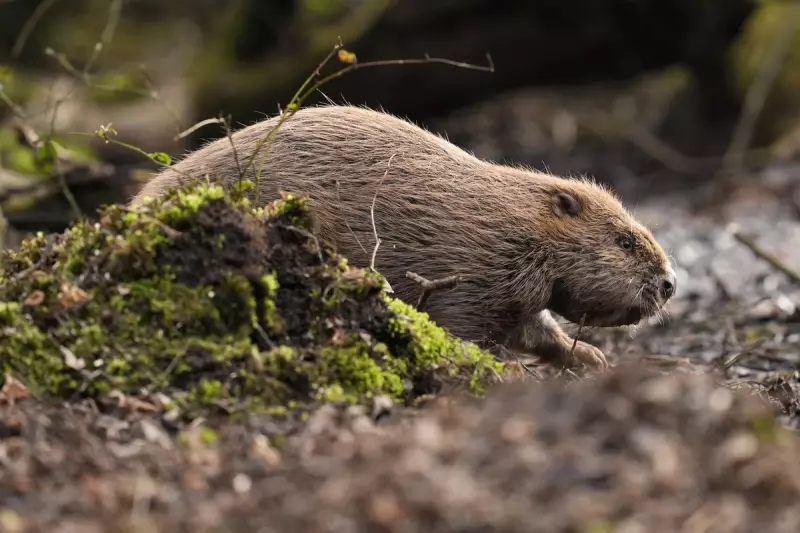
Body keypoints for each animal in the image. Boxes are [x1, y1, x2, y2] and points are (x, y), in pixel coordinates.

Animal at [130, 105, 677, 370]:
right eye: (626, 242)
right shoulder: (473, 271)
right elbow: (465, 329)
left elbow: (535, 328)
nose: (670, 284)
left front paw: (592, 357)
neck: (514, 219)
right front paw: (500, 369)